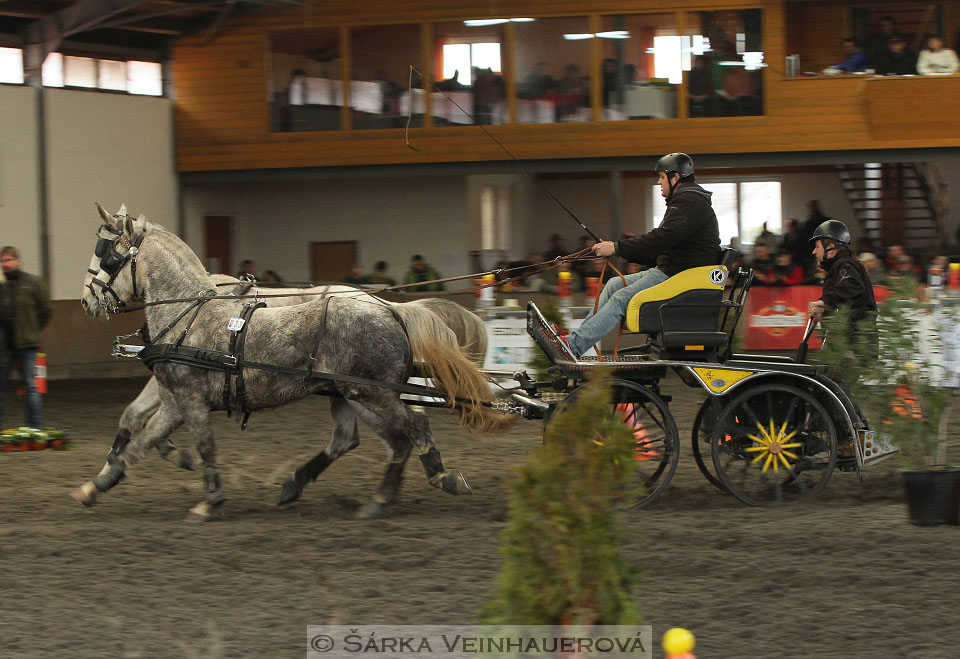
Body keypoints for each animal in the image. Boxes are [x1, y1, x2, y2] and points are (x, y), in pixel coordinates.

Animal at [75, 206, 506, 520]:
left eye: (107, 256)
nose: (87, 301)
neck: (190, 314)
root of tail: (391, 309)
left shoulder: (189, 401)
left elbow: (191, 444)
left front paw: (207, 499)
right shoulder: (173, 401)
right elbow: (141, 434)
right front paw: (99, 482)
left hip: (372, 392)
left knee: (414, 427)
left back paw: (442, 479)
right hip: (352, 393)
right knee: (376, 439)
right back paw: (362, 497)